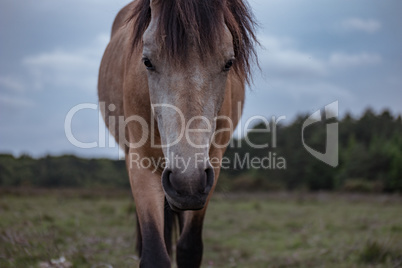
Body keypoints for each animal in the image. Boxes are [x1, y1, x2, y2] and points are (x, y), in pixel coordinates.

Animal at [97, 0, 258, 266]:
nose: (187, 181)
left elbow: (189, 248)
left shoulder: (211, 167)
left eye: (228, 62)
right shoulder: (140, 163)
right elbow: (154, 254)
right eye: (147, 61)